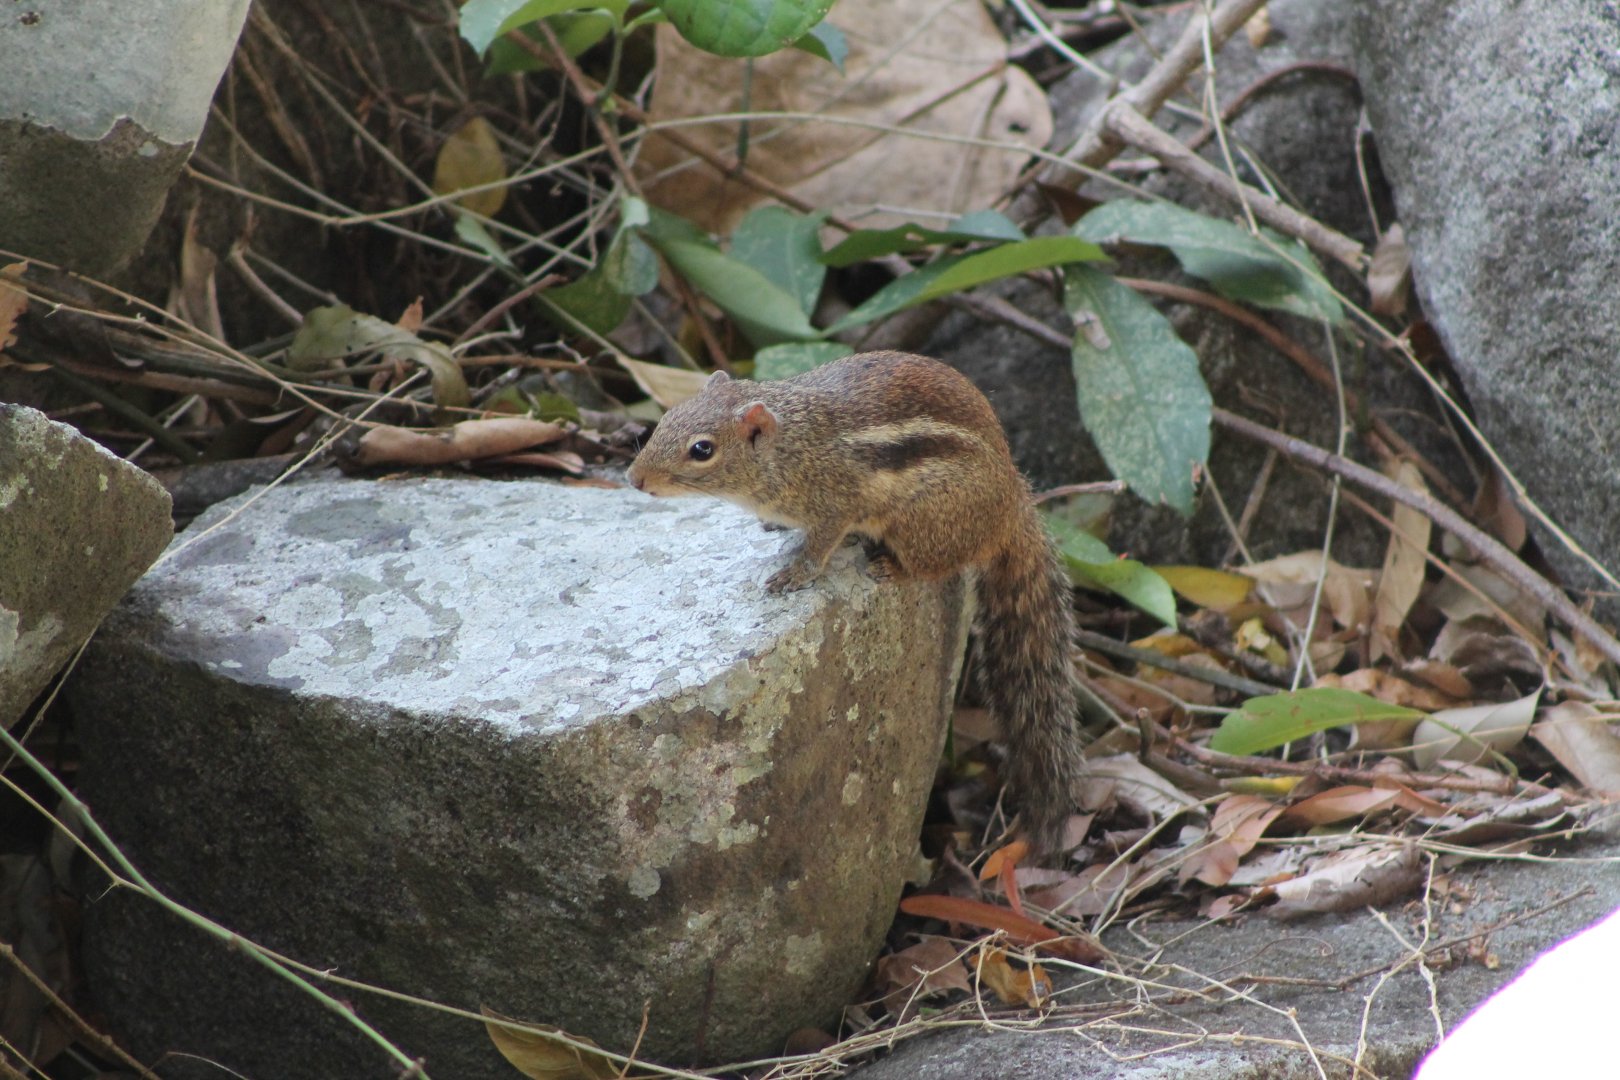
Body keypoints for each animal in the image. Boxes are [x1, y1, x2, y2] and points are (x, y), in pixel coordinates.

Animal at [626, 350, 1084, 856]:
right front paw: (775, 528)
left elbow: (821, 544)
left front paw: (795, 573)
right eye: (667, 416)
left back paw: (893, 568)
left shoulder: (835, 505)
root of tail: (1010, 507)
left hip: (921, 523)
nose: (634, 479)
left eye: (702, 449)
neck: (789, 448)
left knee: (938, 566)